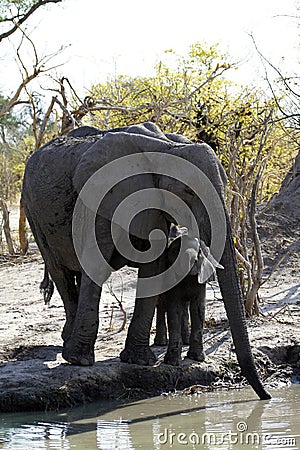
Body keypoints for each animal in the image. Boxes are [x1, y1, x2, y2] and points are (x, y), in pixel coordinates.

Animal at [156, 232, 221, 366]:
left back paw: (185, 340)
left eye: (199, 252)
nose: (193, 261)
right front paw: (172, 362)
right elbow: (174, 309)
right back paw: (161, 342)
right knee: (161, 304)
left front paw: (197, 358)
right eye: (175, 251)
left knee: (184, 308)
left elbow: (198, 309)